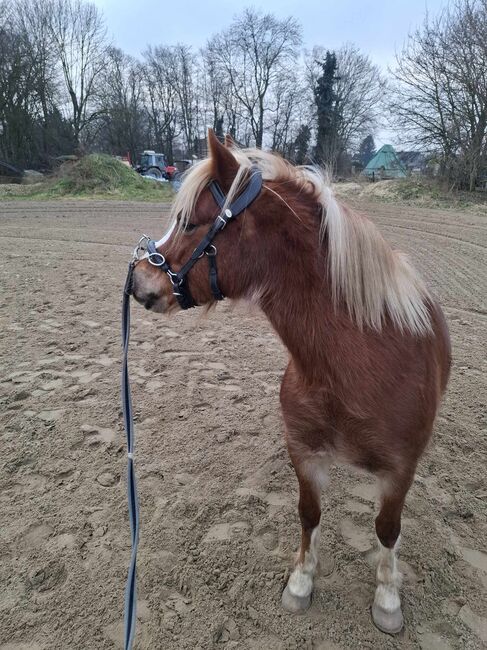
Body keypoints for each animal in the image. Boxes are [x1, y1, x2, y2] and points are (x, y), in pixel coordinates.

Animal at [132, 132, 452, 632]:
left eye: (190, 222)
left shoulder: (400, 470)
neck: (352, 370)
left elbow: (387, 529)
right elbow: (309, 513)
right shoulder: (304, 453)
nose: (138, 280)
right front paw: (301, 581)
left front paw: (387, 598)